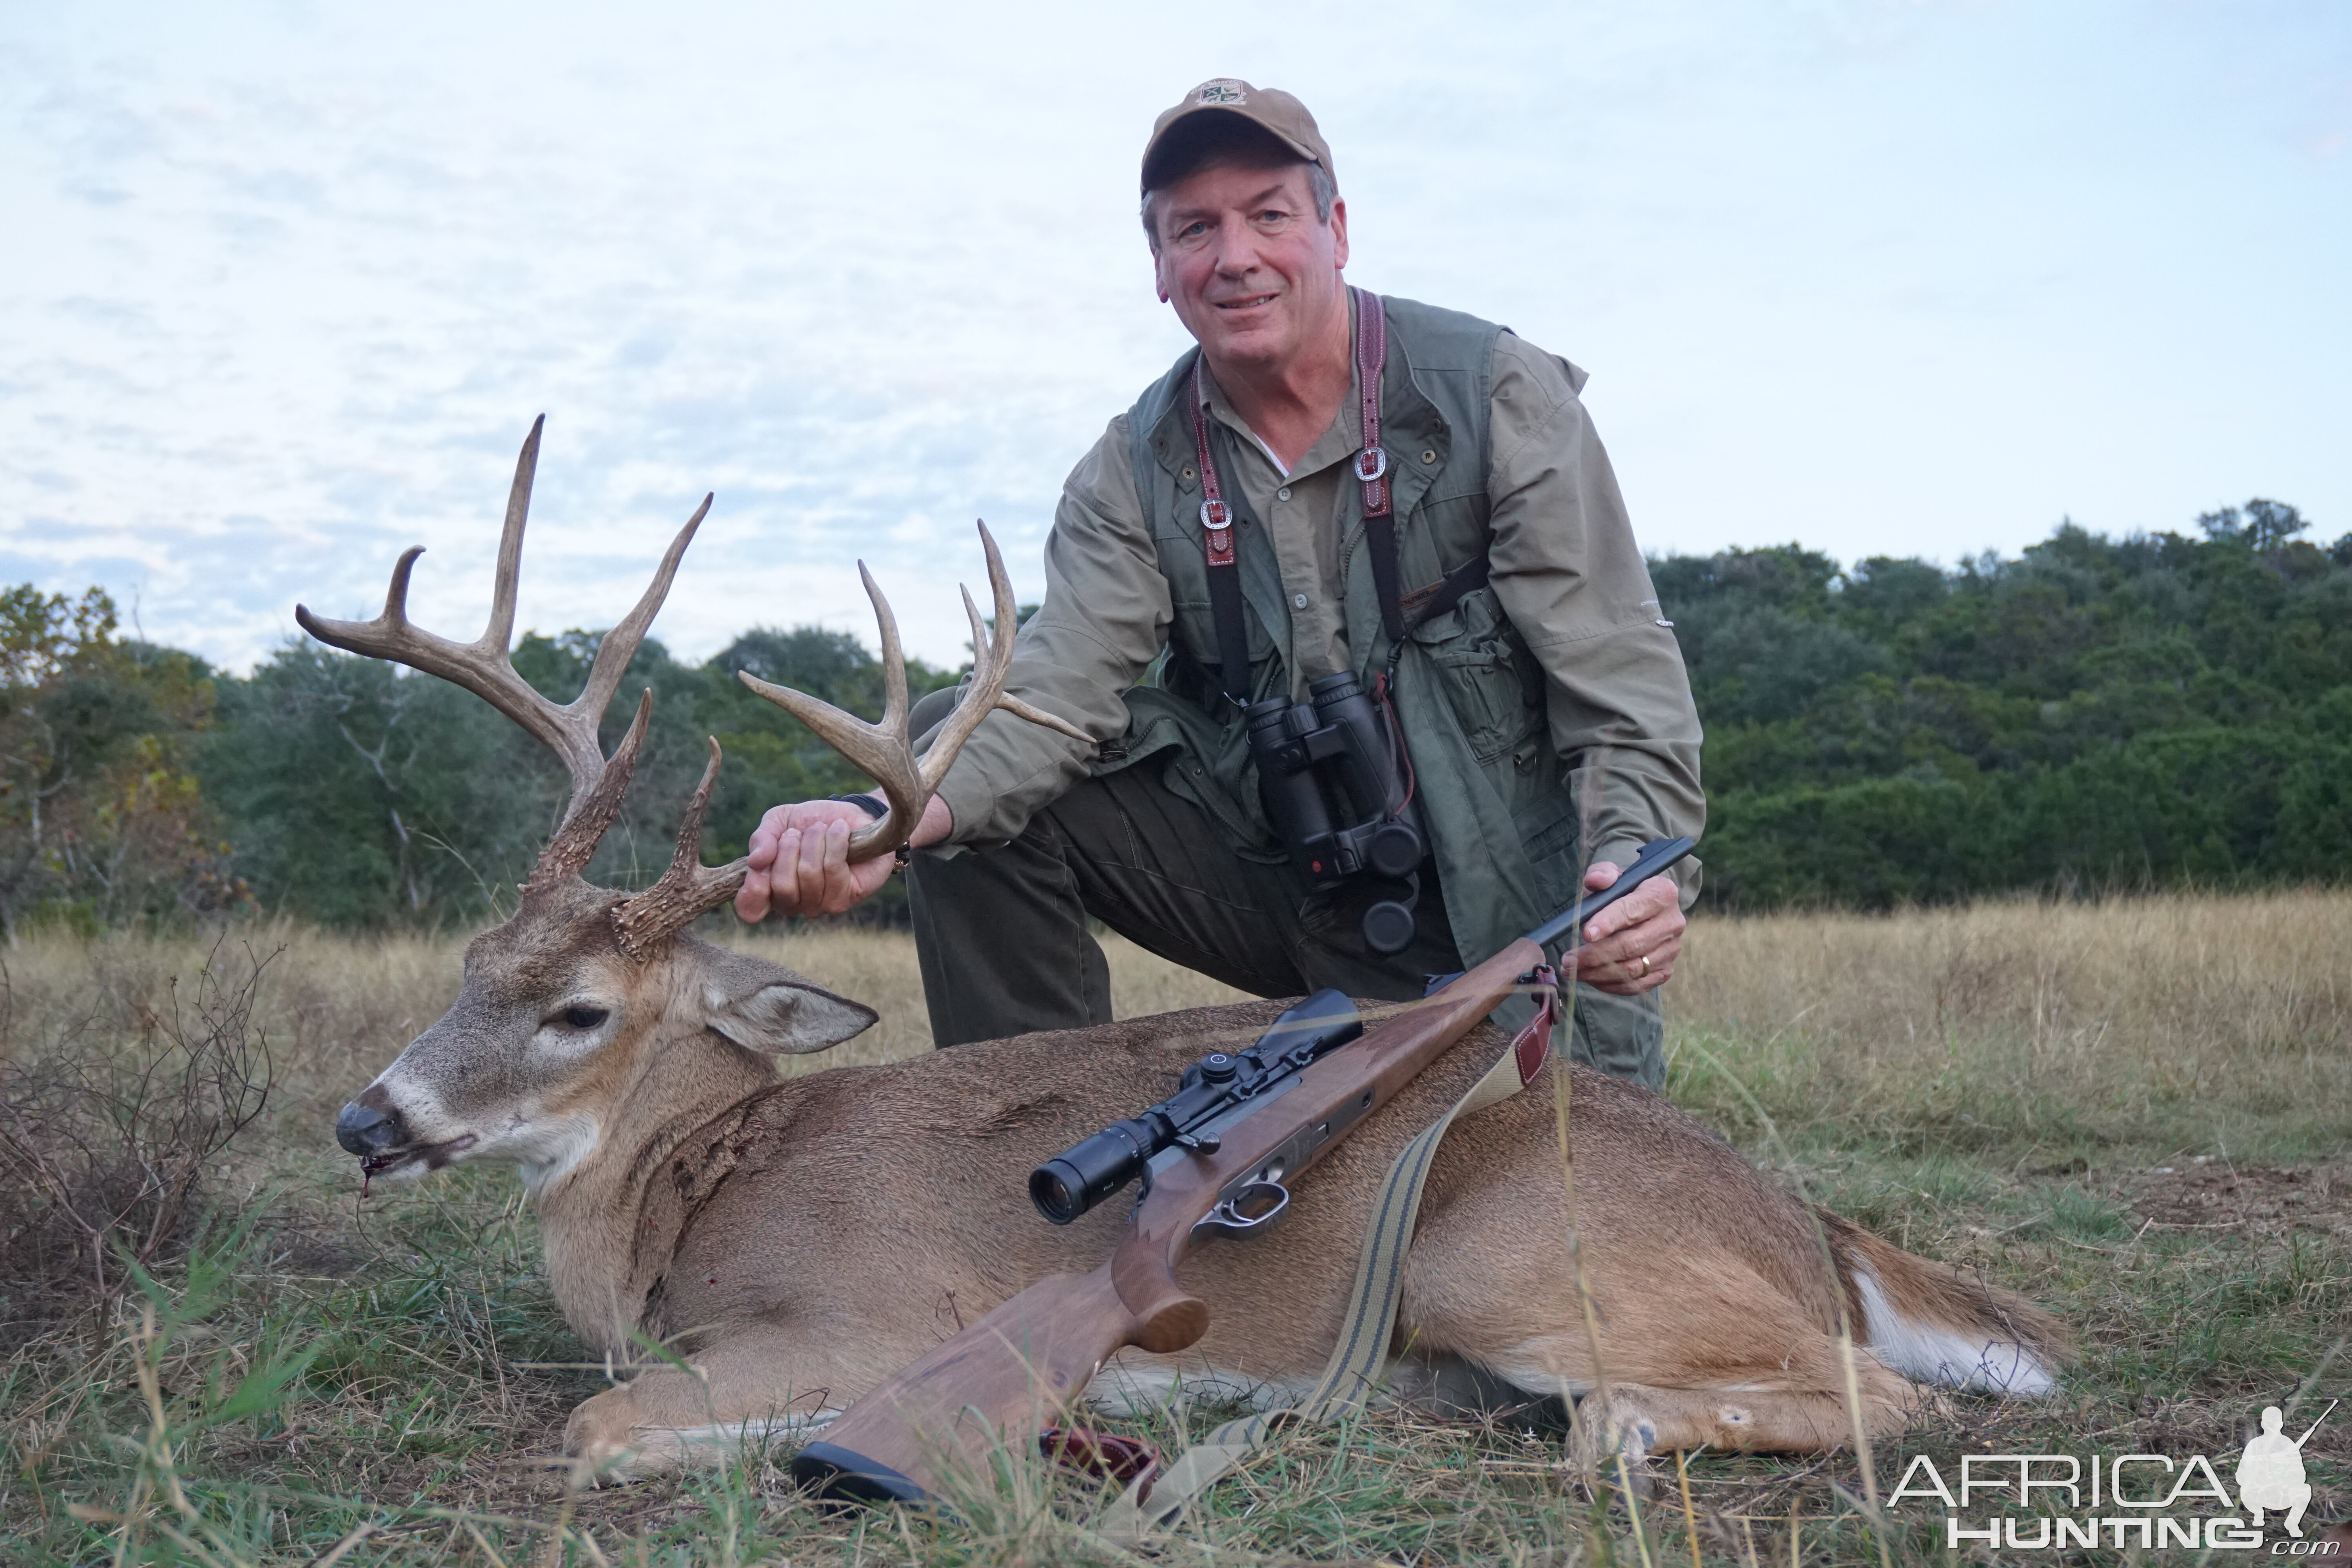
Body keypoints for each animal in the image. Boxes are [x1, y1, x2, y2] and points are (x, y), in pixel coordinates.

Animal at [308, 423, 2060, 1495]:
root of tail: (1811, 1223)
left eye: (577, 1008)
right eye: (470, 955)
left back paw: (1612, 1428)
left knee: (1888, 1395)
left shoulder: (872, 1315)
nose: (366, 1119)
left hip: (1496, 1251)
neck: (685, 1194)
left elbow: (596, 1424)